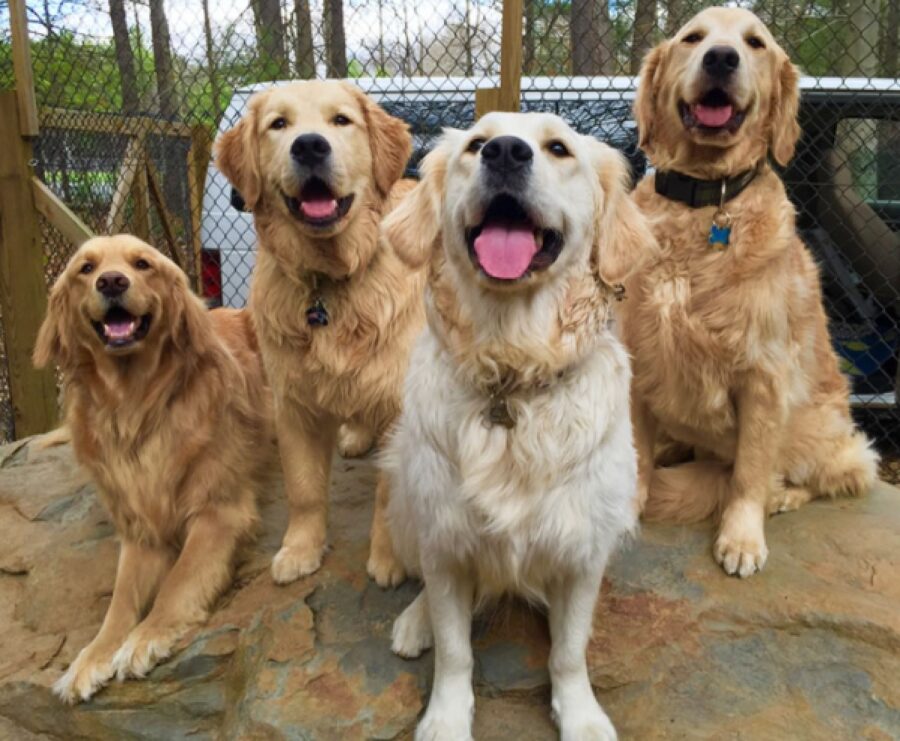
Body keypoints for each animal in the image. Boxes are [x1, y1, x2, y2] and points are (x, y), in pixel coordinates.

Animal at [34, 236, 274, 700]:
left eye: (142, 264)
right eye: (86, 269)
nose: (112, 281)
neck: (134, 404)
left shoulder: (220, 512)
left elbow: (179, 580)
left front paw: (146, 636)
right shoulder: (140, 530)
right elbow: (120, 601)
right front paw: (91, 657)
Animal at [218, 81, 426, 588]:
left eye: (341, 120)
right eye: (278, 124)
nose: (310, 145)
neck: (329, 281)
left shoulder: (400, 407)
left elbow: (389, 493)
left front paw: (389, 557)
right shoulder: (293, 405)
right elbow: (304, 489)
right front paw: (301, 549)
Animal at [376, 111, 652, 740]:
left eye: (559, 148)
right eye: (476, 144)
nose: (504, 152)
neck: (511, 372)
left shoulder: (583, 547)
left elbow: (569, 652)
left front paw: (580, 715)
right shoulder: (445, 540)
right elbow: (455, 649)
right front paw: (445, 717)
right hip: (405, 498)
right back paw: (414, 621)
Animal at [624, 7, 880, 580]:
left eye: (755, 43)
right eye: (693, 38)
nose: (721, 58)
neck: (702, 202)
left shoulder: (763, 375)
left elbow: (749, 470)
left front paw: (742, 537)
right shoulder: (636, 356)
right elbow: (635, 455)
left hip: (824, 428)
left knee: (835, 472)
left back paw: (780, 496)